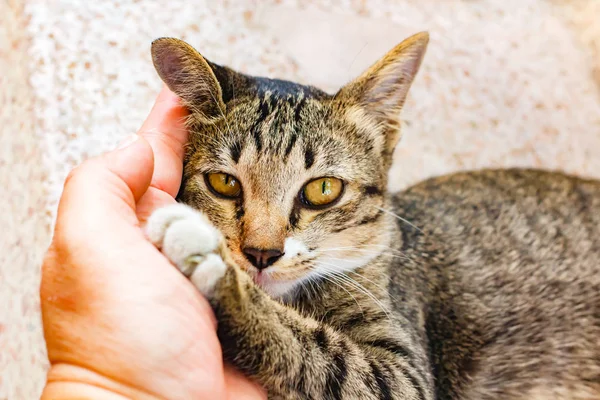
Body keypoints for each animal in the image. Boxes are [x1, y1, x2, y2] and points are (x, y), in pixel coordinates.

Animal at [145, 32, 600, 398]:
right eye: (224, 182)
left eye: (323, 190)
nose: (261, 253)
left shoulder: (406, 373)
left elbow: (318, 352)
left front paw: (214, 267)